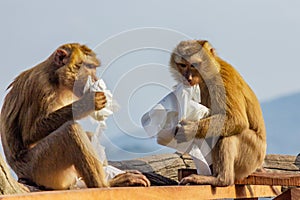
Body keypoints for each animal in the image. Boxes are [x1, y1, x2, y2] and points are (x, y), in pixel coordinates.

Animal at [0, 43, 150, 190]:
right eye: (89, 66)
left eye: (94, 68)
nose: (95, 79)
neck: (55, 78)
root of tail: (22, 175)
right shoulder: (41, 86)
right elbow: (30, 133)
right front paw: (89, 101)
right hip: (39, 168)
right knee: (70, 130)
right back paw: (104, 184)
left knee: (85, 134)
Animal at [168, 39, 266, 187]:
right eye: (183, 65)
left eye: (194, 65)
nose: (188, 78)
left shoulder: (222, 80)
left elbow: (236, 119)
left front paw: (188, 130)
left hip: (252, 155)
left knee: (227, 133)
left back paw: (221, 179)